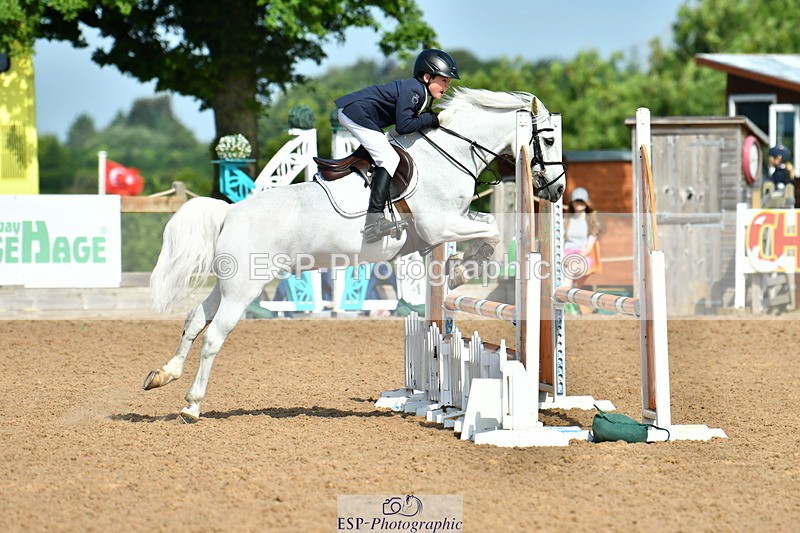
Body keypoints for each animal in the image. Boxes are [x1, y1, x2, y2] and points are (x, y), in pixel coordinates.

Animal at [142, 88, 565, 421]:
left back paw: (162, 375)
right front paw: (465, 270)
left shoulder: (446, 226)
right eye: (547, 140)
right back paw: (192, 405)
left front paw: (459, 269)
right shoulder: (440, 226)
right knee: (214, 335)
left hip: (228, 285)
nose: (557, 190)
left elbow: (485, 225)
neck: (449, 152)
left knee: (194, 320)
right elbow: (491, 229)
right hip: (244, 289)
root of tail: (230, 212)